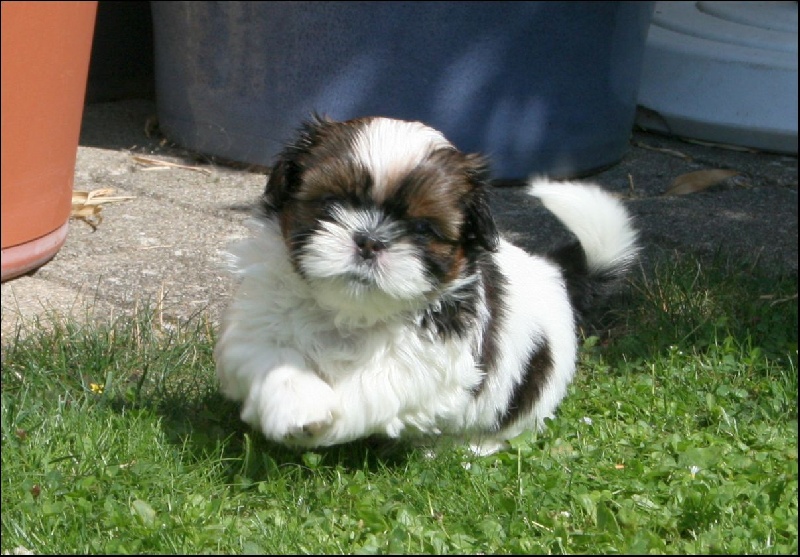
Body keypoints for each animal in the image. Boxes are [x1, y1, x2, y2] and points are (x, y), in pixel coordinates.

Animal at [214, 115, 639, 455]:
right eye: (331, 201)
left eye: (421, 227)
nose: (370, 240)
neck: (350, 313)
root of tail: (554, 272)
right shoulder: (256, 323)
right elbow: (274, 357)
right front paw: (297, 408)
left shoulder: (431, 358)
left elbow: (378, 382)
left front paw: (328, 419)